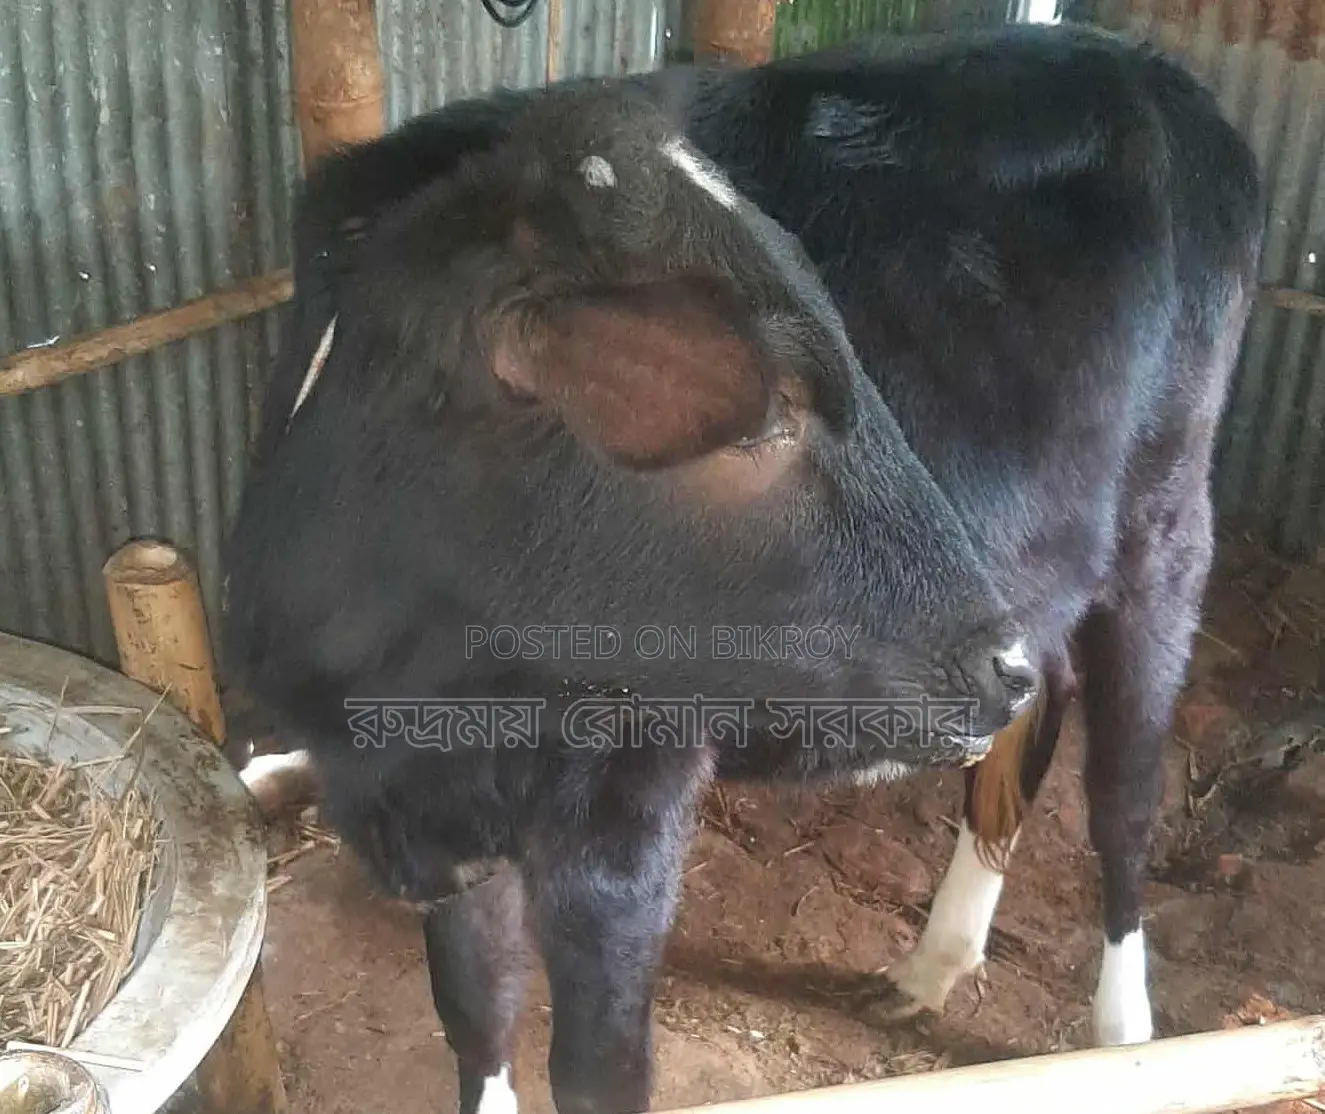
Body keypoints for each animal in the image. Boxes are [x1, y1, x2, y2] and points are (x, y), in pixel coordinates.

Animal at [223, 21, 1264, 1114]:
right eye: (773, 406)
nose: (986, 664)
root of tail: (1134, 59)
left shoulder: (623, 804)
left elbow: (595, 1068)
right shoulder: (435, 815)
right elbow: (474, 1009)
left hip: (1165, 521)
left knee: (1124, 788)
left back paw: (1126, 1035)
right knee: (1043, 705)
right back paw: (931, 963)